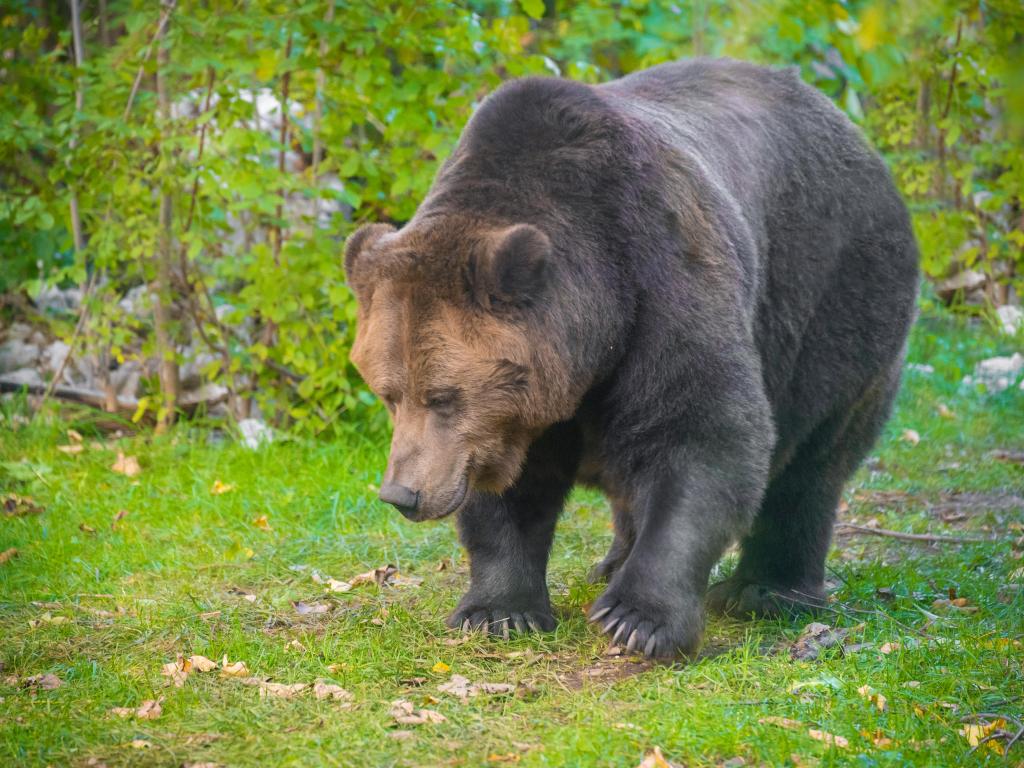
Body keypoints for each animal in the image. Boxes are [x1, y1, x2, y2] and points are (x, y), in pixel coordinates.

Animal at [344, 60, 921, 659]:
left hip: (833, 293)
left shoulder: (661, 275)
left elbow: (704, 433)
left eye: (442, 396)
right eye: (389, 394)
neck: (596, 329)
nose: (401, 493)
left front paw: (637, 619)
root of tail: (851, 129)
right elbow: (506, 490)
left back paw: (767, 589)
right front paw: (498, 611)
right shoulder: (518, 416)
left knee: (812, 459)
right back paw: (613, 562)